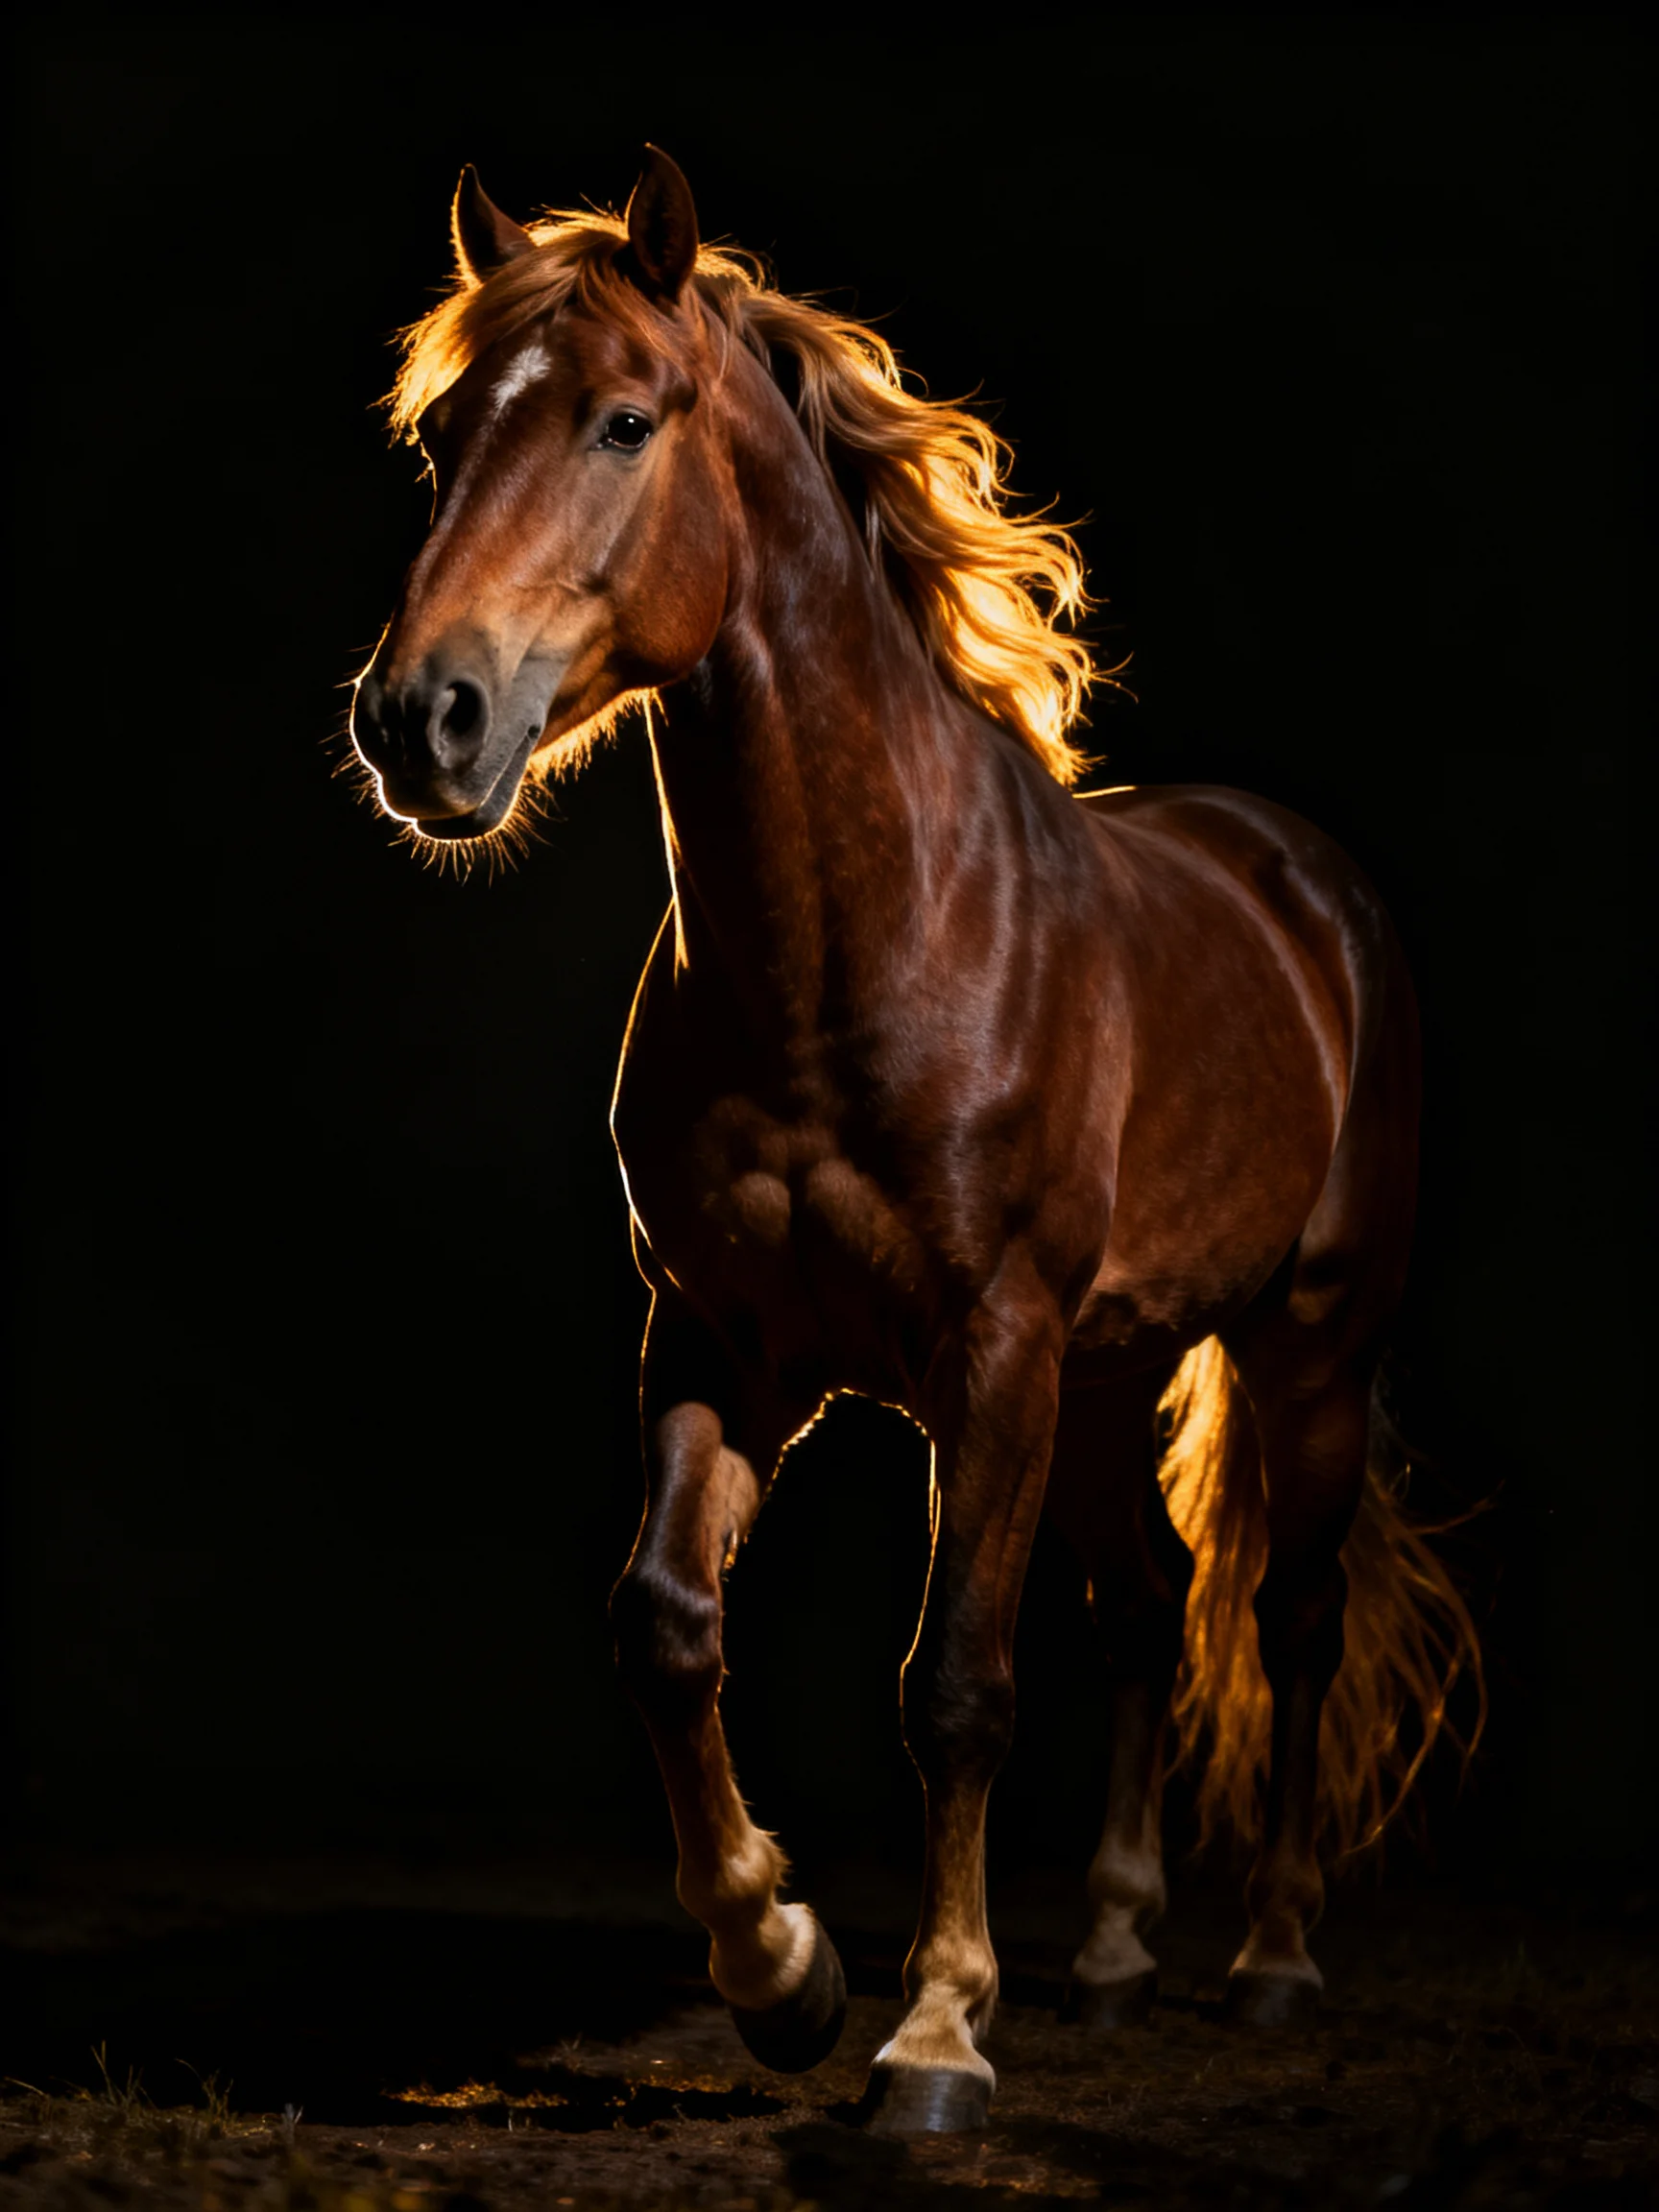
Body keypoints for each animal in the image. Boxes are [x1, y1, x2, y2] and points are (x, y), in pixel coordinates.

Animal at [350, 148, 1482, 2136]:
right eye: (442, 437)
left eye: (624, 419)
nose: (425, 717)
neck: (859, 942)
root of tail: (1302, 879)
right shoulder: (721, 1338)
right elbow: (665, 1620)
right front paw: (777, 1960)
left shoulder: (995, 1344)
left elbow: (955, 1679)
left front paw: (934, 2031)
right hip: (1109, 1372)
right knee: (1147, 1605)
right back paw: (1109, 1946)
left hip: (1302, 1346)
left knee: (1288, 1615)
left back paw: (1268, 1954)